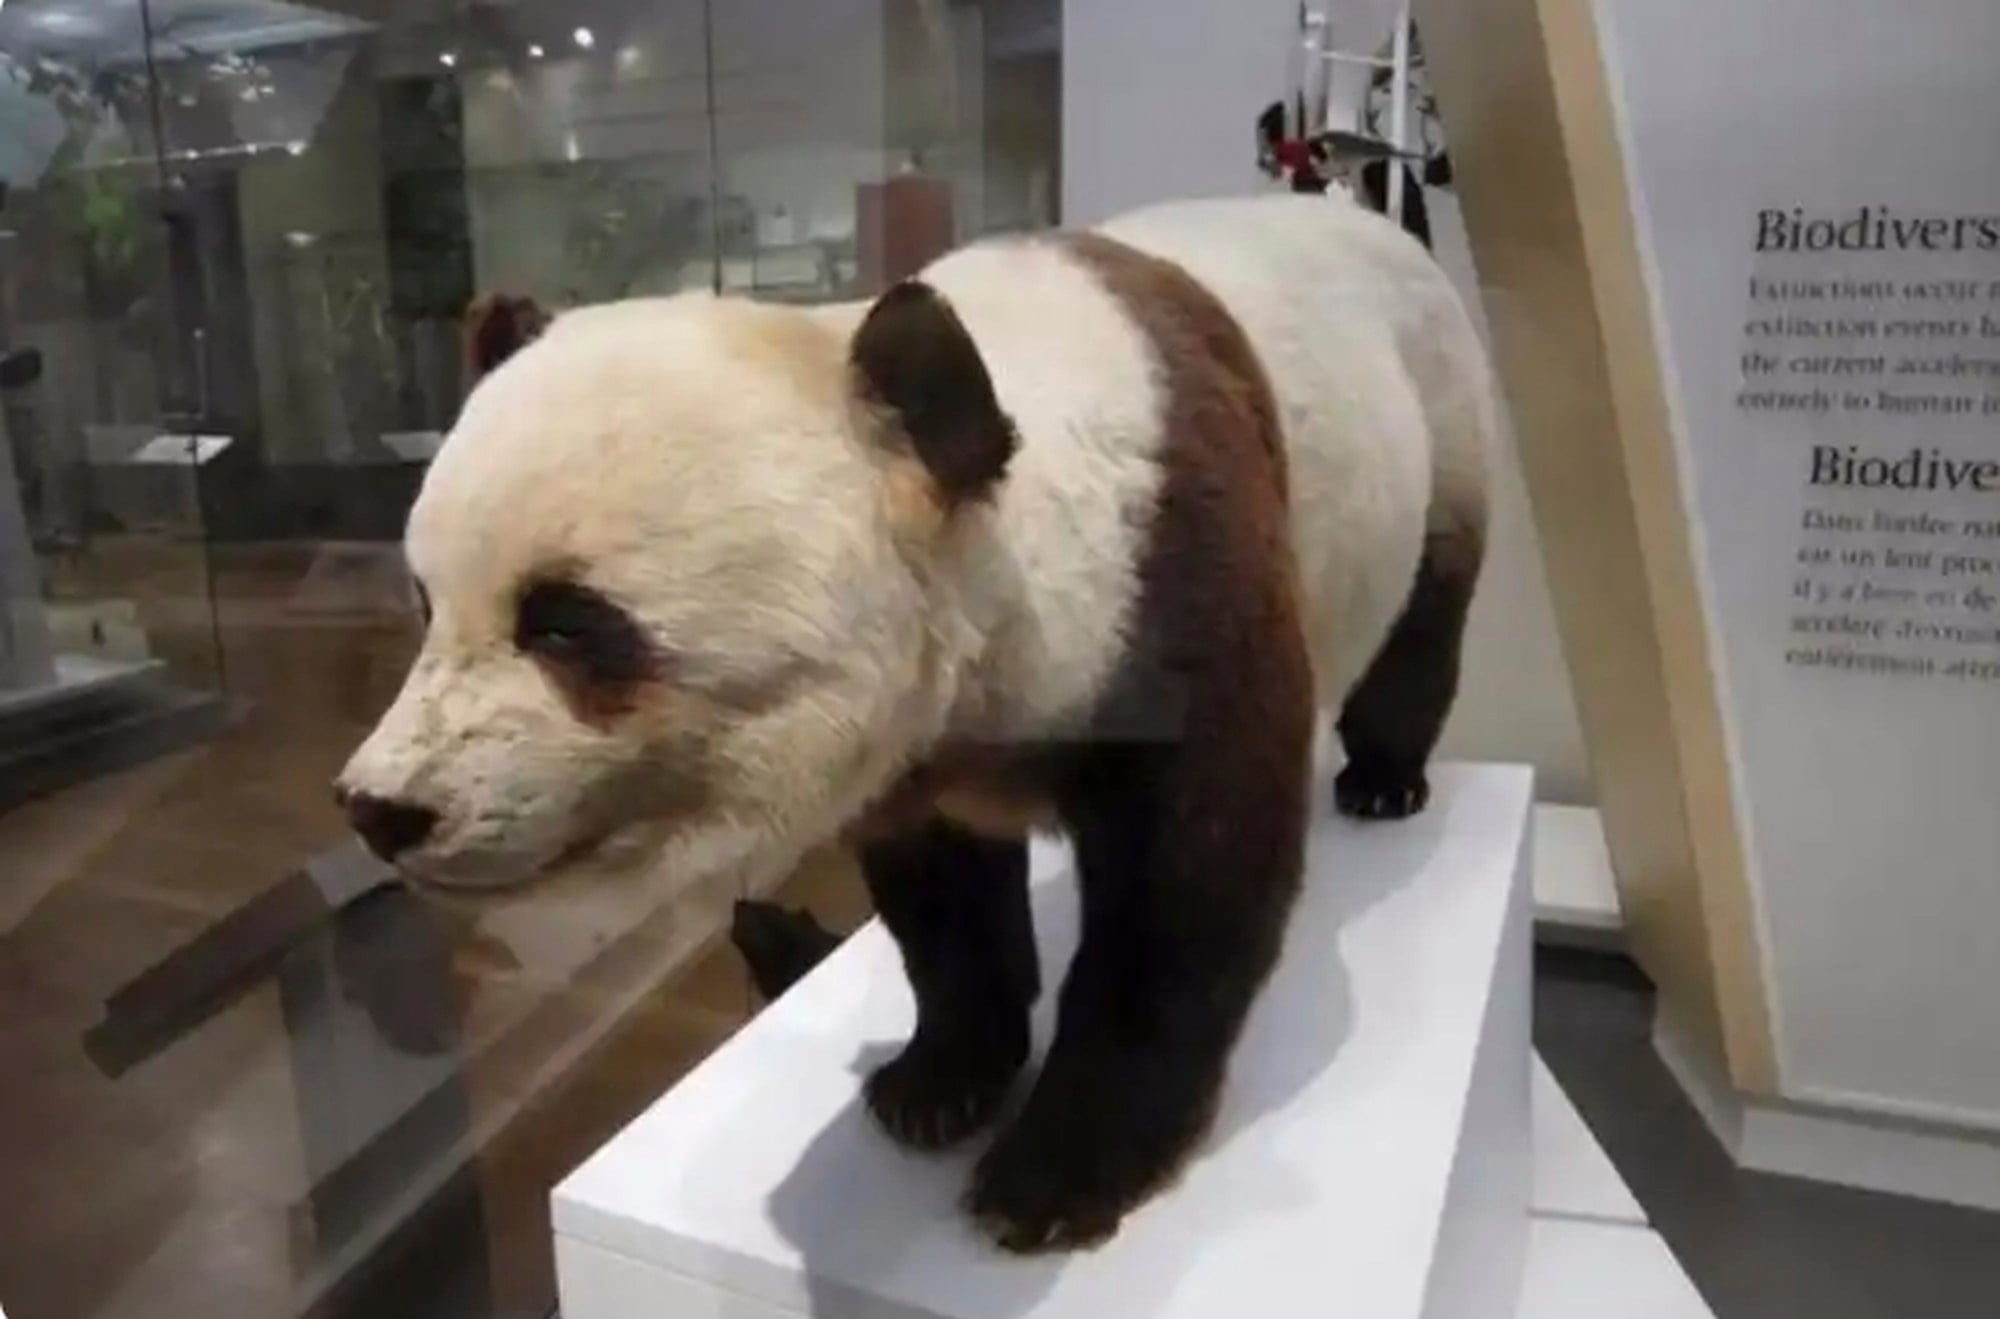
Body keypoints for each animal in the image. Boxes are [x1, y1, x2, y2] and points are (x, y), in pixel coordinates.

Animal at [336, 193, 1494, 1254]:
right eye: (426, 602)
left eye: (567, 624)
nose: (379, 807)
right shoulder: (920, 739)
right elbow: (941, 900)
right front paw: (936, 1084)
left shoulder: (1177, 588)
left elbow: (1187, 884)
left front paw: (1051, 1179)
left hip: (1440, 411)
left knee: (1430, 599)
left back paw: (1383, 778)